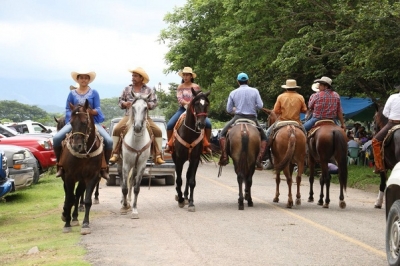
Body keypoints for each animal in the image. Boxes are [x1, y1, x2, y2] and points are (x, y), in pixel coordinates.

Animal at [60, 100, 102, 235]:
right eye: (71, 123)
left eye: (84, 122)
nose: (76, 146)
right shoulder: (69, 176)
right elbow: (69, 198)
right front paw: (67, 224)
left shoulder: (91, 176)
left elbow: (87, 200)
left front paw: (85, 224)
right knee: (70, 195)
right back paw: (66, 215)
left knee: (78, 194)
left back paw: (74, 216)